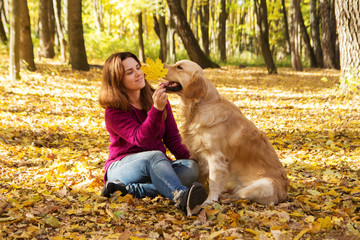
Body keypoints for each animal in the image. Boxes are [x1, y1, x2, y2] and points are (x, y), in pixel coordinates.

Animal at [163, 60, 290, 204]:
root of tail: (284, 193)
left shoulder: (215, 156)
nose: (162, 64)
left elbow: (213, 182)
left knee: (239, 195)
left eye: (179, 67)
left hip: (263, 186)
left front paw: (209, 200)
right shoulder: (199, 153)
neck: (200, 105)